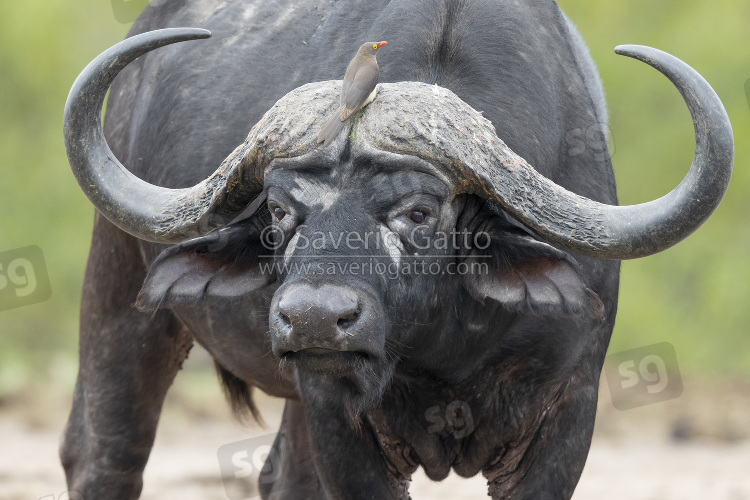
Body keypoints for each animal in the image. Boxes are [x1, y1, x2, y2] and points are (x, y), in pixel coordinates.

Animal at [61, 1, 732, 498]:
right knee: (102, 452)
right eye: (278, 211)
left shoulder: (567, 413)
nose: (313, 318)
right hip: (118, 290)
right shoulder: (340, 423)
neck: (445, 340)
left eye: (419, 213)